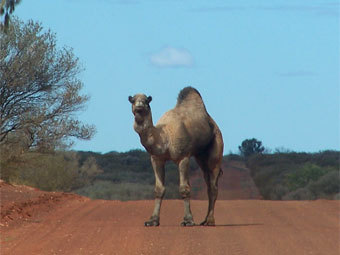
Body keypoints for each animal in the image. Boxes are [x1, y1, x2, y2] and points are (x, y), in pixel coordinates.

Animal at [127, 86, 223, 226]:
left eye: (146, 101)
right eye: (133, 100)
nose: (139, 106)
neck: (164, 137)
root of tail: (212, 122)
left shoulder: (183, 157)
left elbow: (184, 188)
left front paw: (188, 220)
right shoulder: (156, 159)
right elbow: (159, 189)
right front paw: (152, 220)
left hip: (216, 145)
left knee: (214, 184)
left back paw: (210, 221)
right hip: (200, 156)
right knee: (208, 182)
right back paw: (204, 220)